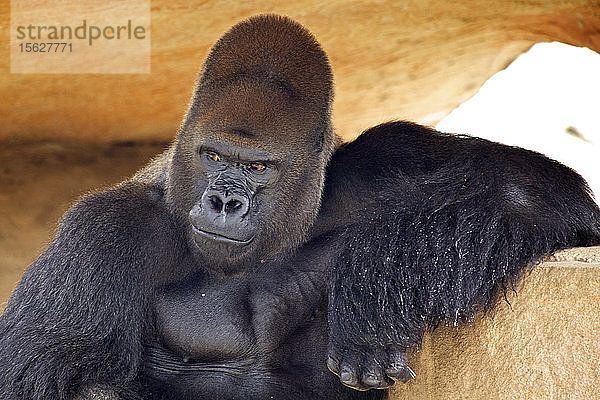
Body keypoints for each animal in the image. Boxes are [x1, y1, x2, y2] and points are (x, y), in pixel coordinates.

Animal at [1, 13, 600, 400]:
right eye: (213, 155)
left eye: (258, 168)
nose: (224, 201)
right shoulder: (101, 236)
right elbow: (35, 377)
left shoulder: (387, 156)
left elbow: (530, 190)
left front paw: (377, 286)